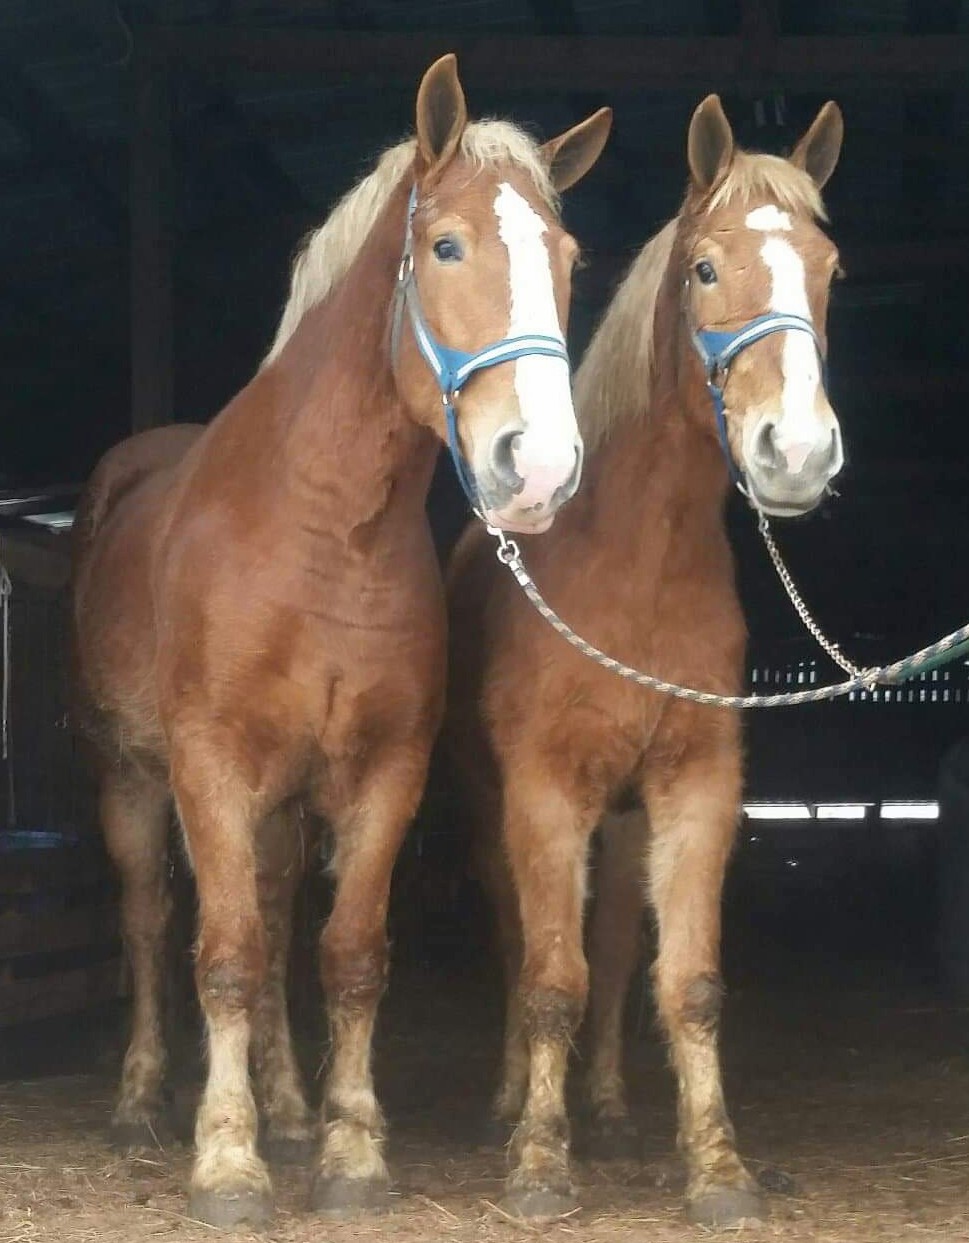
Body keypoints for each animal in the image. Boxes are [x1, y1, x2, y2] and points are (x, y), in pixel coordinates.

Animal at [70, 53, 611, 1229]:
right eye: (446, 245)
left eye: (568, 260)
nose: (539, 467)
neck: (321, 530)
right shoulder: (209, 765)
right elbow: (221, 954)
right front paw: (226, 1164)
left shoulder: (383, 770)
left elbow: (349, 953)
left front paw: (349, 1149)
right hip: (131, 777)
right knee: (148, 922)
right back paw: (139, 1102)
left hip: (280, 805)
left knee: (278, 924)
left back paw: (286, 1107)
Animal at [445, 94, 845, 1227]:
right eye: (706, 268)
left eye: (829, 268)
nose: (797, 453)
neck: (637, 559)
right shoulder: (544, 790)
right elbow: (549, 975)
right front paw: (540, 1162)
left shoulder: (695, 783)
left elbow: (685, 980)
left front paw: (717, 1166)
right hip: (493, 807)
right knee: (517, 941)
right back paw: (507, 1103)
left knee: (620, 940)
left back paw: (614, 1110)